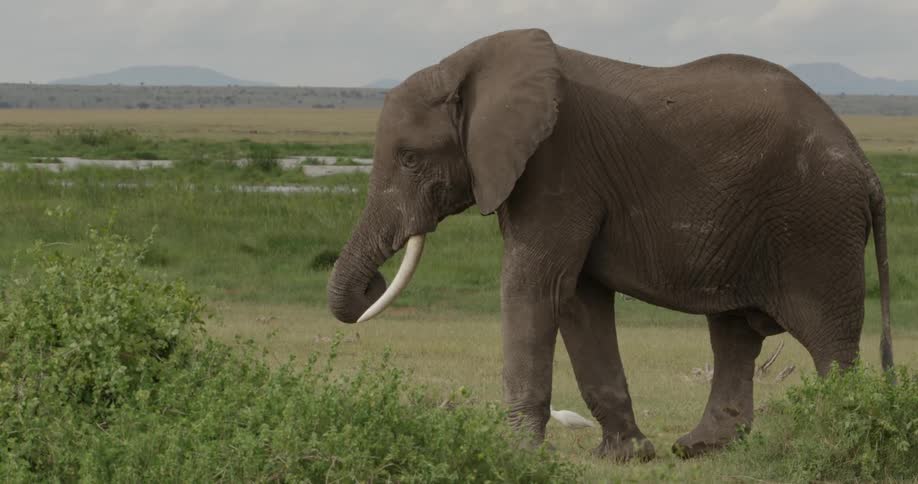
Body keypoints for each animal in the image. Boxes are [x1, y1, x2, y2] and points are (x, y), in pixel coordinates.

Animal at [326, 28, 894, 461]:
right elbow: (579, 299)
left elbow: (534, 287)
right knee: (734, 333)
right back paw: (698, 449)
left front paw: (515, 454)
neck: (469, 65)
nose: (374, 281)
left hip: (817, 227)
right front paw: (628, 455)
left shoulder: (558, 167)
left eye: (409, 159)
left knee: (830, 342)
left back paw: (833, 440)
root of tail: (867, 169)